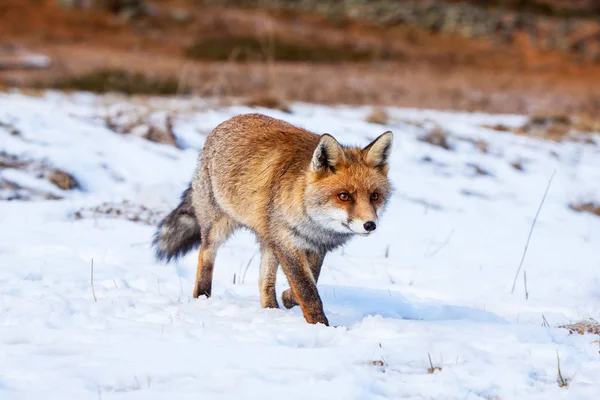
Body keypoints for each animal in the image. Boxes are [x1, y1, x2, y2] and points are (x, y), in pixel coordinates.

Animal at [152, 112, 392, 324]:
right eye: (344, 196)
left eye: (374, 196)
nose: (370, 225)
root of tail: (229, 120)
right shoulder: (287, 243)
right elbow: (308, 292)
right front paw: (321, 326)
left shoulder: (314, 247)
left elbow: (309, 282)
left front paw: (288, 298)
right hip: (218, 227)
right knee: (205, 256)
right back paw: (202, 297)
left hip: (268, 241)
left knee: (264, 282)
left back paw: (271, 310)